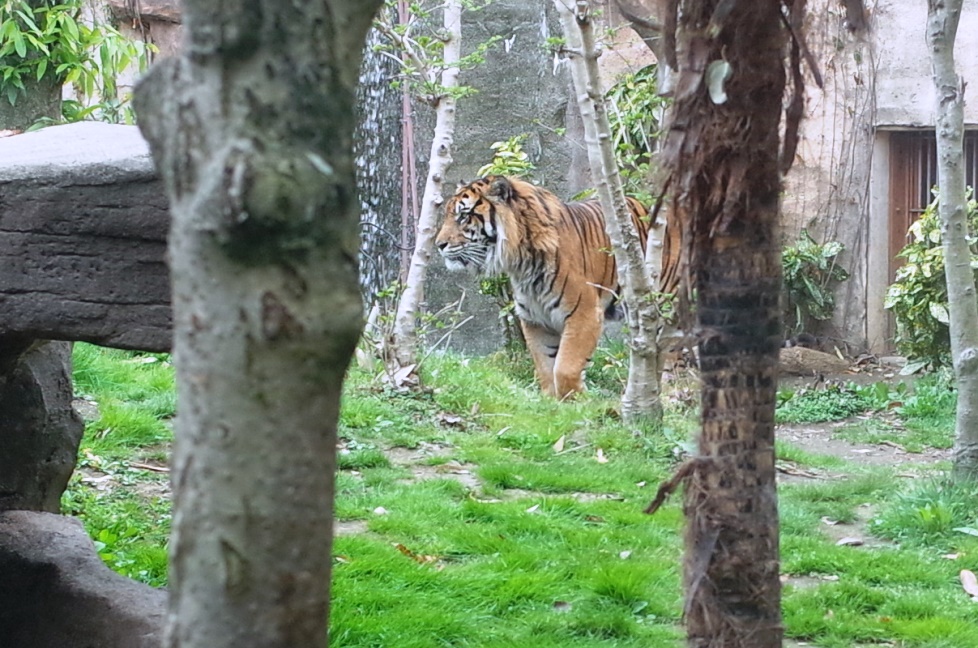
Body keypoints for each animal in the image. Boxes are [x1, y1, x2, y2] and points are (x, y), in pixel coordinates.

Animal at [432, 177, 648, 400]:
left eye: (464, 216)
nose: (439, 244)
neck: (522, 263)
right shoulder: (535, 320)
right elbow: (546, 367)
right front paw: (553, 401)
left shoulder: (584, 314)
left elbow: (565, 368)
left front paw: (579, 400)